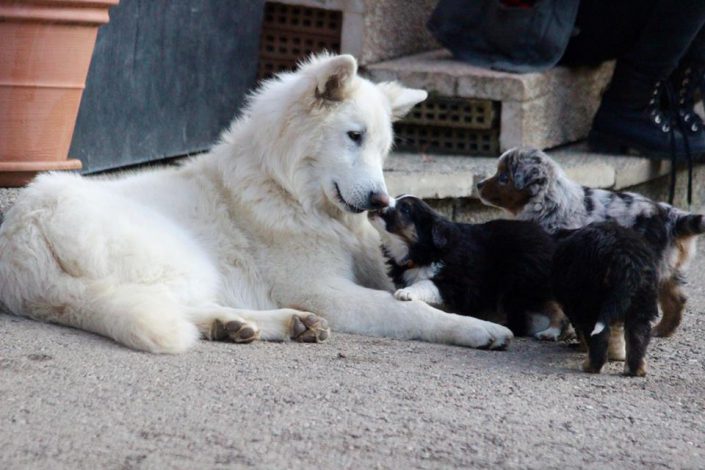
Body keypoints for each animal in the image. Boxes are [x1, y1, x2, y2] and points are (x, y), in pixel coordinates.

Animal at [0, 52, 512, 352]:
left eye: (383, 149)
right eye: (354, 136)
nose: (381, 201)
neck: (286, 190)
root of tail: (24, 230)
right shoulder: (325, 290)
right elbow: (405, 309)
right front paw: (475, 328)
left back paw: (257, 325)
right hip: (184, 260)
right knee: (164, 306)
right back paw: (261, 323)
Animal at [366, 195, 564, 338]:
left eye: (405, 208)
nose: (378, 202)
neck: (421, 252)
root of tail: (551, 240)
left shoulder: (455, 281)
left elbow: (425, 283)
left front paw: (407, 293)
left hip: (525, 282)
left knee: (554, 306)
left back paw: (551, 332)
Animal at [478, 147, 704, 338]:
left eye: (503, 178)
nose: (478, 185)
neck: (547, 200)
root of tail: (671, 215)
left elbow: (555, 305)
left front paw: (553, 331)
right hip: (667, 269)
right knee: (677, 299)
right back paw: (662, 331)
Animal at [552, 222, 660, 376]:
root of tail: (625, 259)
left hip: (590, 302)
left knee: (598, 339)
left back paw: (590, 367)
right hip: (642, 303)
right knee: (638, 335)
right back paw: (635, 369)